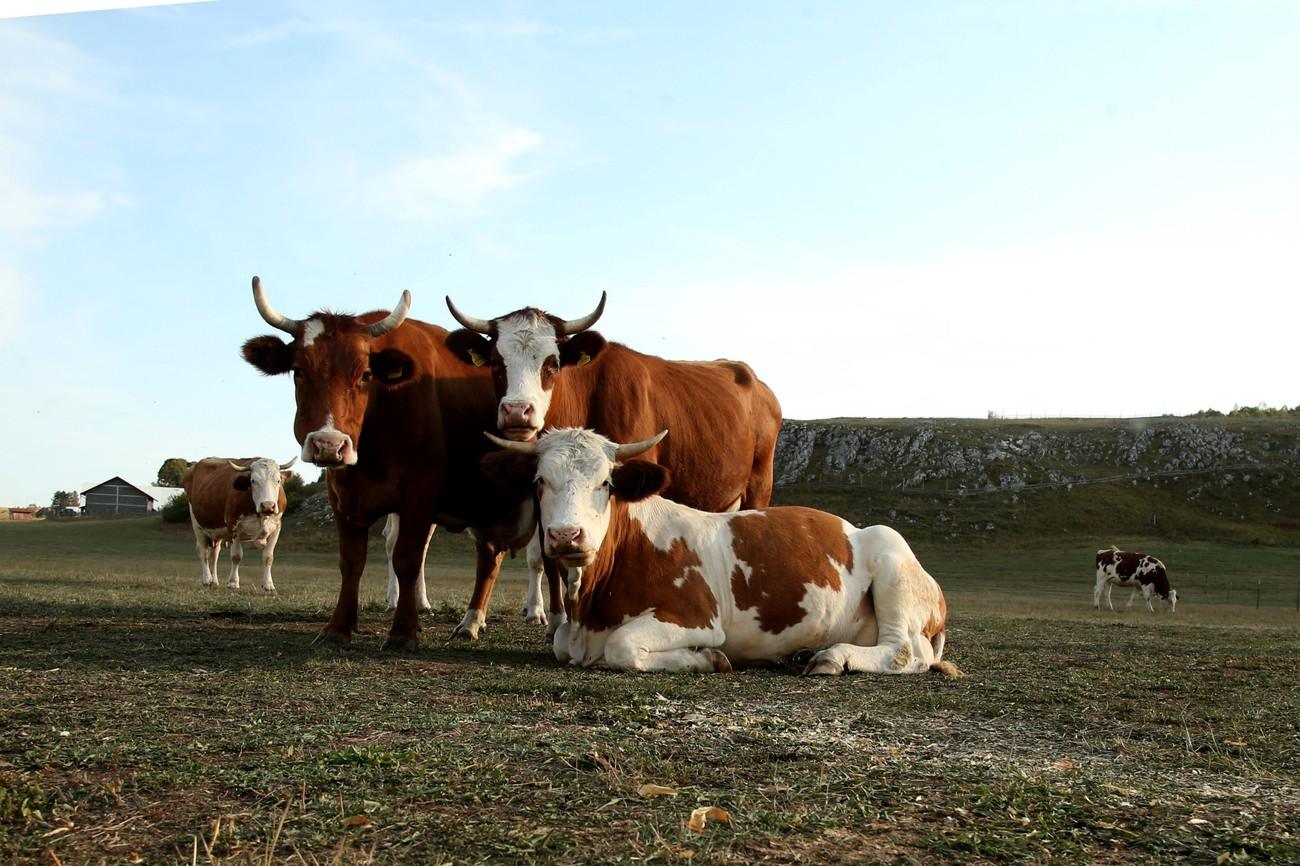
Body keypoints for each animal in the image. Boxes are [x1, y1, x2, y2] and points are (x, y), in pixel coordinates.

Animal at [182, 456, 296, 591]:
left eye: (278, 480)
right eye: (253, 481)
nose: (268, 506)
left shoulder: (276, 527)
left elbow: (268, 557)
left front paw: (268, 584)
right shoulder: (234, 526)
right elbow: (236, 556)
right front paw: (233, 582)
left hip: (217, 532)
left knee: (214, 555)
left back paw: (214, 581)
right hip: (198, 526)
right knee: (203, 552)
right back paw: (207, 579)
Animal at [240, 277, 553, 649]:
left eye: (365, 375)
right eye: (299, 371)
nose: (329, 445)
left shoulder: (420, 493)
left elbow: (407, 558)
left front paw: (403, 631)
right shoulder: (342, 496)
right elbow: (352, 562)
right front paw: (338, 627)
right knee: (490, 555)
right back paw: (470, 623)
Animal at [481, 428, 960, 677]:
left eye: (606, 483)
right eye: (539, 481)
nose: (566, 535)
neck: (591, 609)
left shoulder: (696, 616)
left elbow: (622, 646)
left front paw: (706, 659)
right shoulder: (572, 632)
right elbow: (560, 642)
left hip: (892, 559)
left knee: (905, 652)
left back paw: (831, 657)